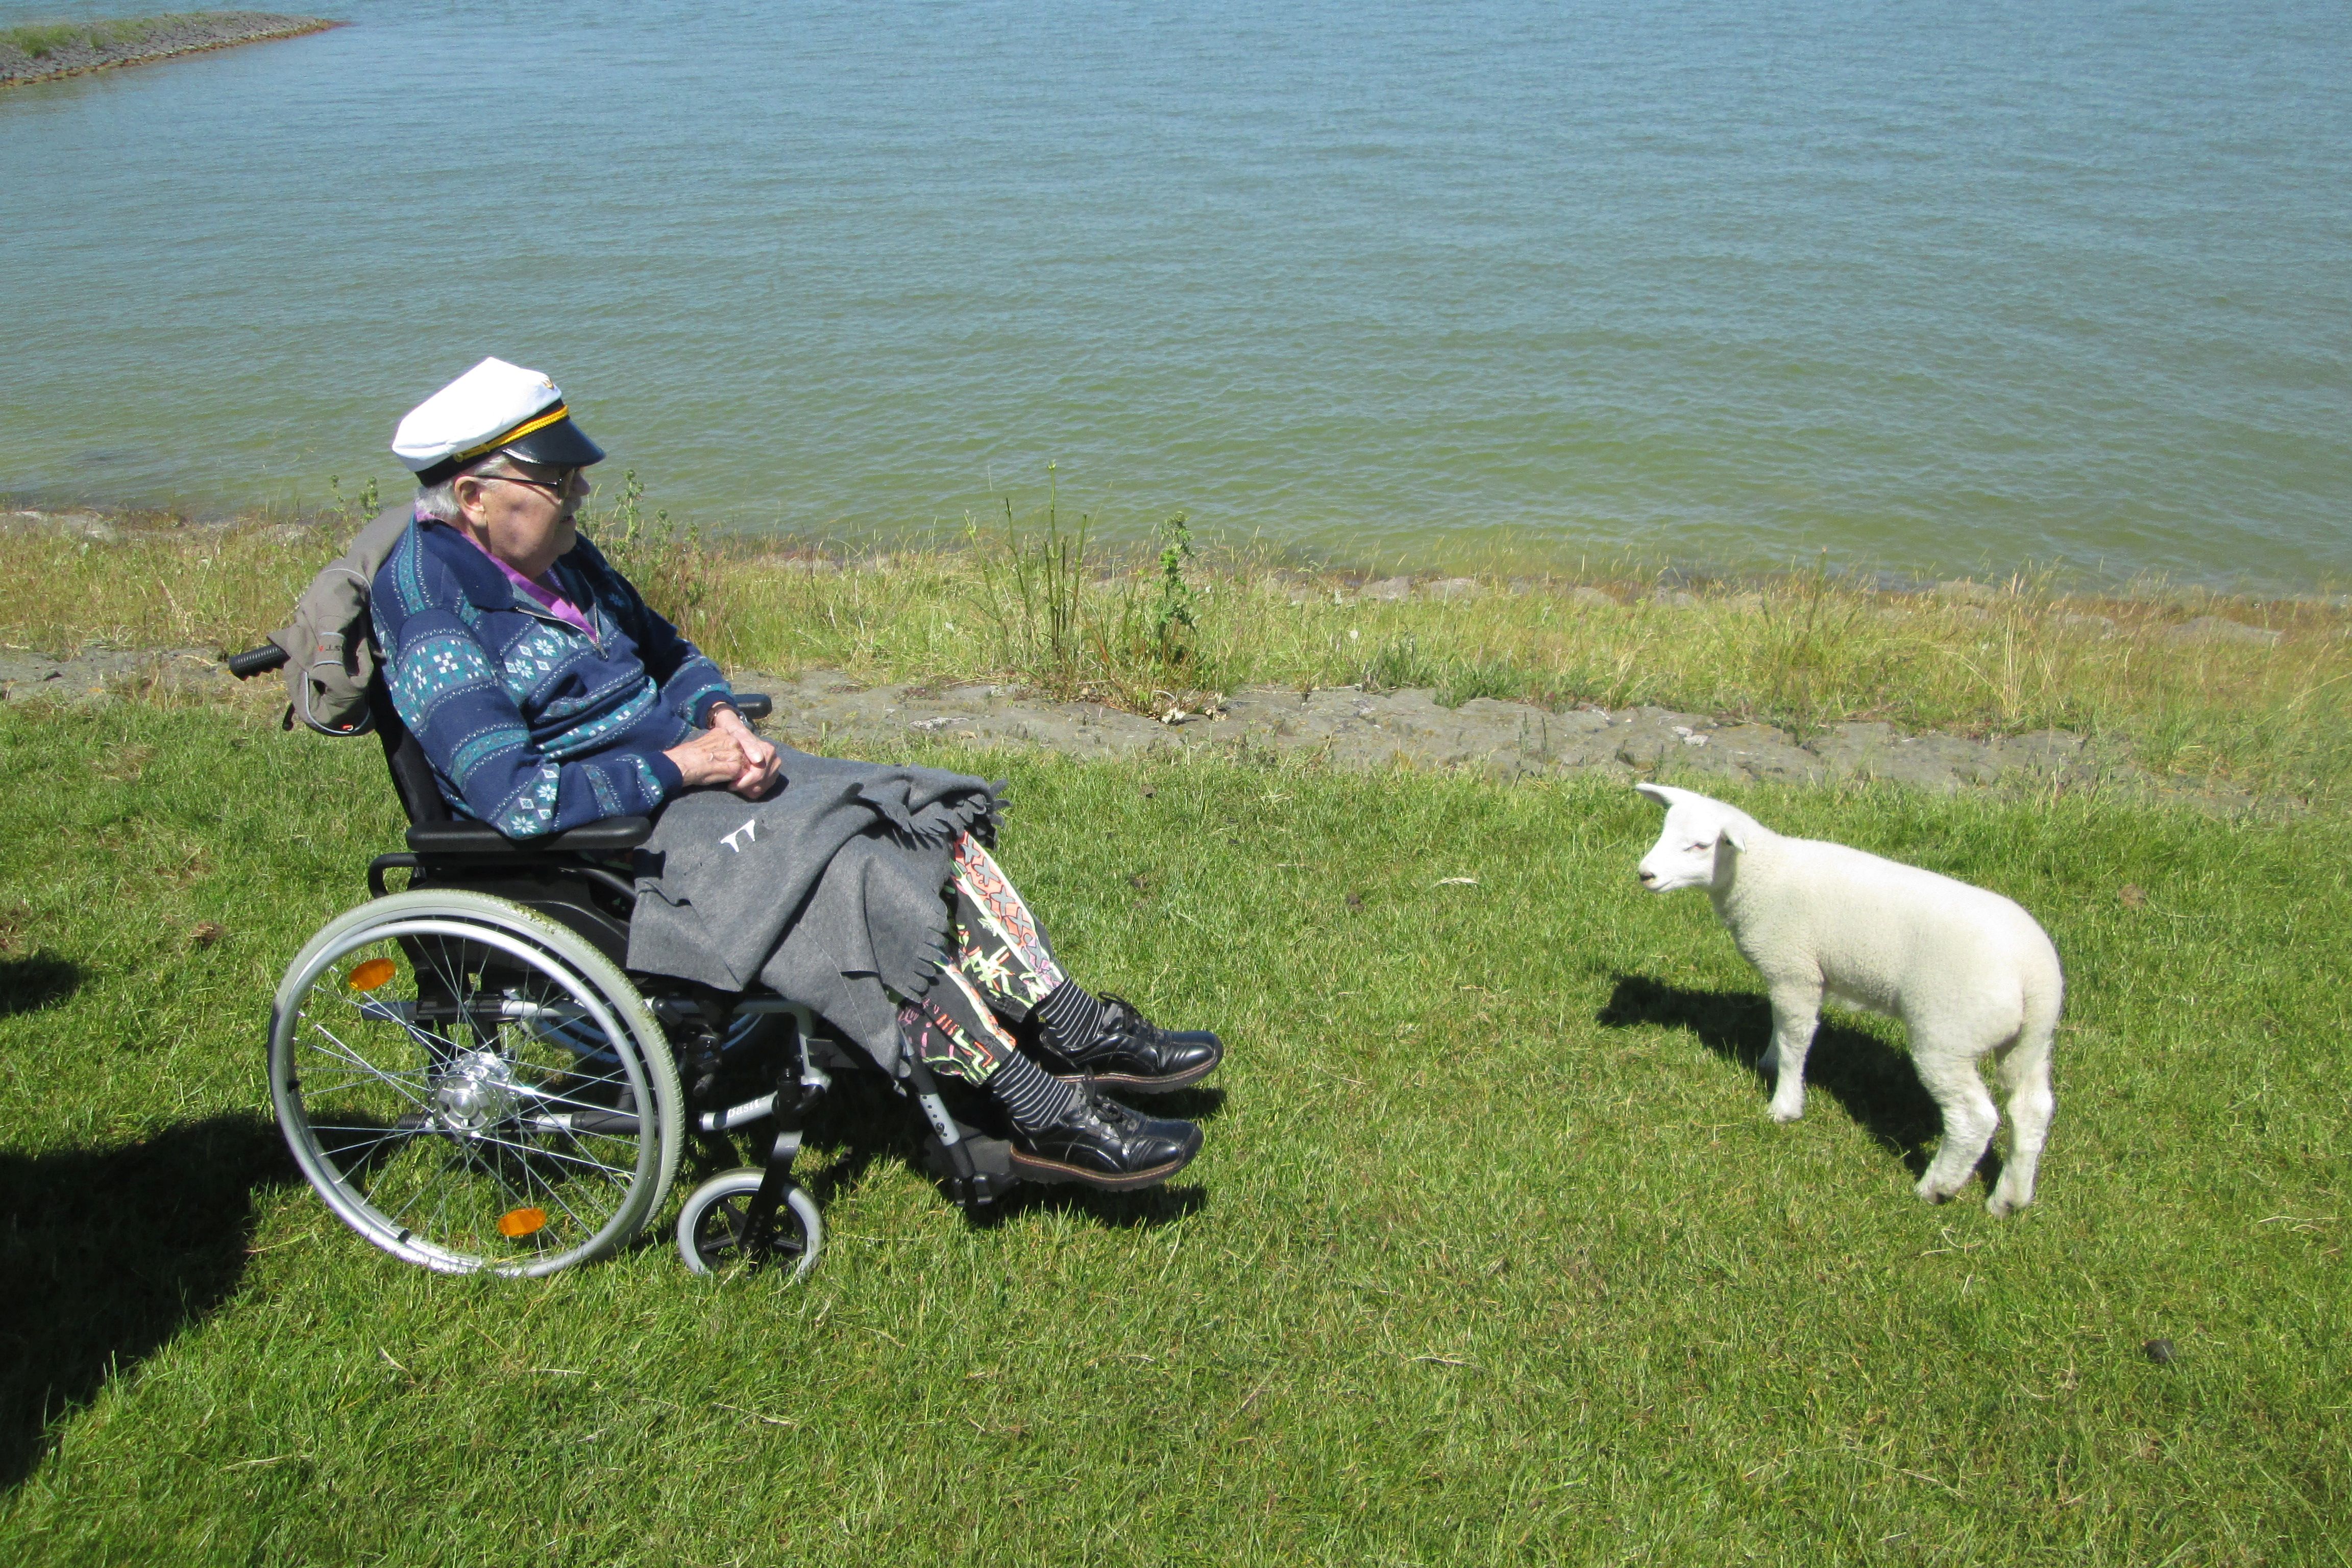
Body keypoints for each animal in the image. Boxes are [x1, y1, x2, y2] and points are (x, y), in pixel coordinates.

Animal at [1637, 785, 2060, 1213]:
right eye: (1665, 830)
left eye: (1701, 846)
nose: (1645, 874)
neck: (1763, 875)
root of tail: (2035, 974)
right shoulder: (1794, 975)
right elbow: (1781, 1026)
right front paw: (1769, 1061)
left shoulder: (1796, 970)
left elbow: (1796, 1040)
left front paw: (1784, 1106)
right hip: (2028, 1040)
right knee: (2031, 1108)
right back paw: (2010, 1198)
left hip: (1948, 1032)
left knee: (1974, 1118)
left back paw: (1936, 1186)